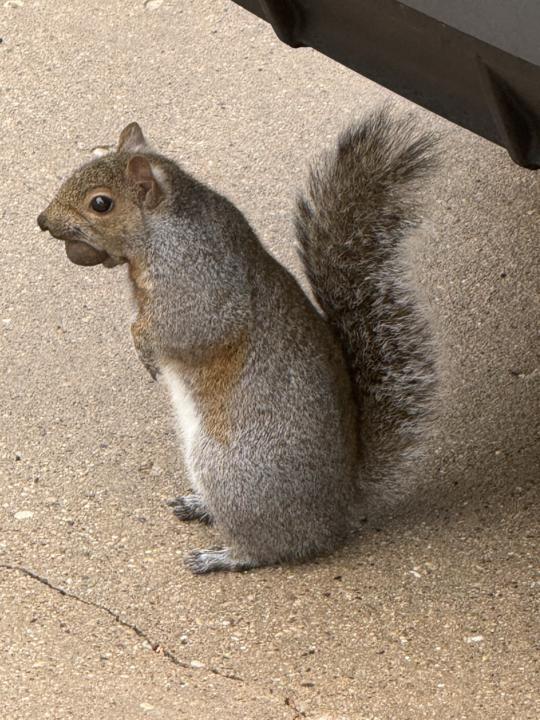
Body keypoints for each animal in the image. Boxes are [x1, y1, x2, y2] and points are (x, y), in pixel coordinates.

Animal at [37, 108, 438, 574]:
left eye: (101, 203)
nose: (42, 221)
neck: (162, 227)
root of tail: (337, 509)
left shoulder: (197, 282)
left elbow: (184, 329)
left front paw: (144, 349)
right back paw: (199, 506)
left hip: (230, 474)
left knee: (266, 549)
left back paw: (221, 556)